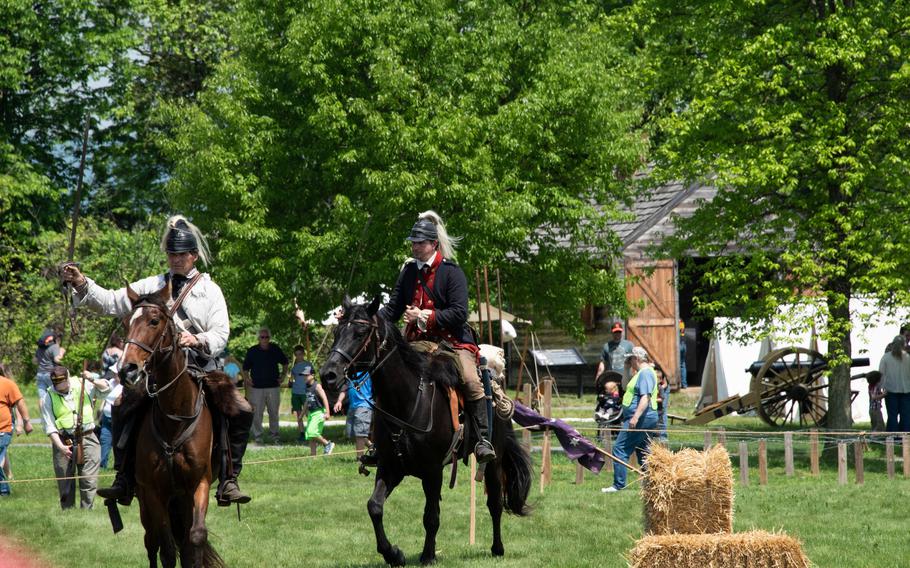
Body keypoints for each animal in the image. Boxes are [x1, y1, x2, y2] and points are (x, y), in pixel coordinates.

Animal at [121, 286, 224, 564]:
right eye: (127, 322)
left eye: (154, 321)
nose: (127, 369)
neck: (175, 419)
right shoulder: (154, 492)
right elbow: (166, 547)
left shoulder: (197, 485)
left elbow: (195, 539)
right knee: (151, 542)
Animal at [320, 296, 536, 564]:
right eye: (337, 332)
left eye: (360, 333)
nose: (328, 375)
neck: (406, 401)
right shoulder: (390, 467)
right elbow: (375, 507)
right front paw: (393, 554)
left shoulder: (433, 472)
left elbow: (431, 516)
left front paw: (428, 555)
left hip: (494, 462)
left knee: (495, 502)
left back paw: (497, 548)